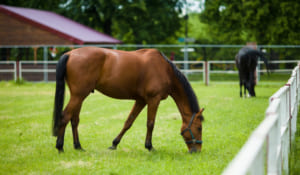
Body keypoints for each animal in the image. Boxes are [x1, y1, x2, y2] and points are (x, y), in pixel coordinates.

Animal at [52, 46, 205, 153]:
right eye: (199, 127)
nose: (196, 151)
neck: (165, 70)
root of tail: (70, 54)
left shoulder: (141, 101)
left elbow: (128, 122)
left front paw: (114, 144)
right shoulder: (153, 100)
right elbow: (150, 123)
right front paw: (150, 147)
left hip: (79, 96)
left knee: (74, 120)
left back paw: (78, 147)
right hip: (78, 95)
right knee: (65, 116)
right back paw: (60, 147)